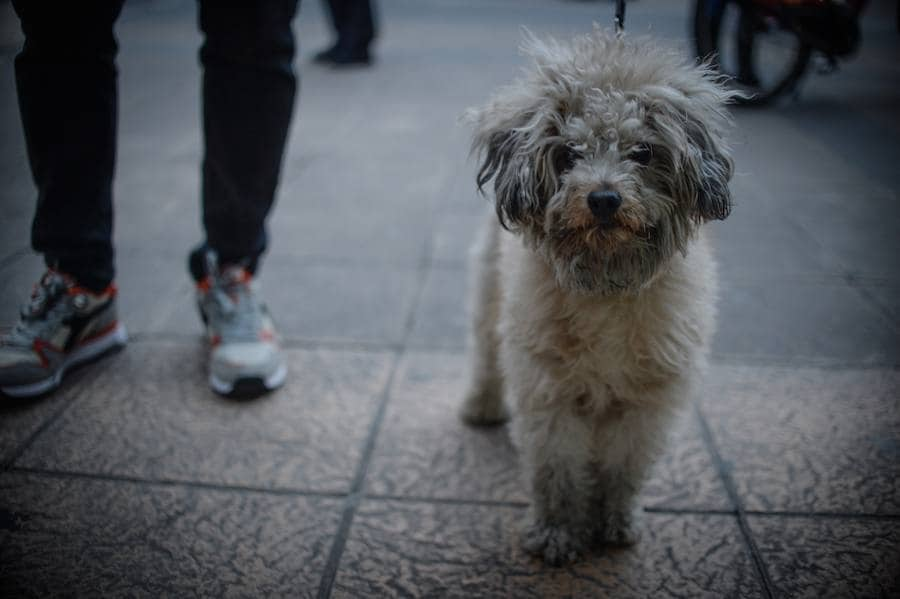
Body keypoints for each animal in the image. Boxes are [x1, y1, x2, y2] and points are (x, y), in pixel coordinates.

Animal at [460, 29, 736, 568]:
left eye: (643, 152)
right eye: (569, 153)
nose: (604, 198)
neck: (606, 284)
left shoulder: (645, 404)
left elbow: (622, 469)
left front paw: (615, 519)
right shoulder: (551, 394)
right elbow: (558, 472)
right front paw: (558, 532)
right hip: (489, 293)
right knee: (485, 351)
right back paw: (481, 404)